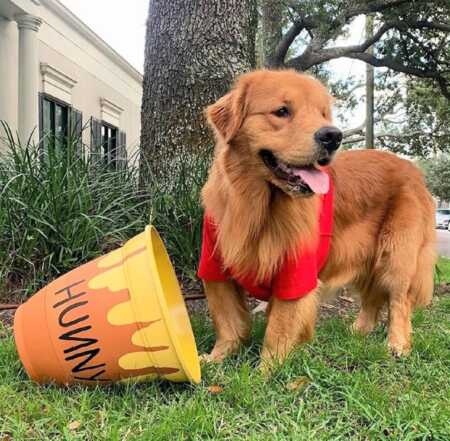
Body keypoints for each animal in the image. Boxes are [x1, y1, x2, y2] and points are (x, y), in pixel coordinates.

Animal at [198, 69, 436, 368]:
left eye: (323, 115)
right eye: (282, 111)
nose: (333, 136)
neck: (255, 207)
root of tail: (412, 168)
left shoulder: (296, 270)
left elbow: (278, 328)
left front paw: (266, 370)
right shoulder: (214, 265)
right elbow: (227, 321)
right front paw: (215, 358)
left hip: (396, 256)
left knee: (398, 301)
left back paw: (397, 344)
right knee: (371, 299)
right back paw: (358, 331)